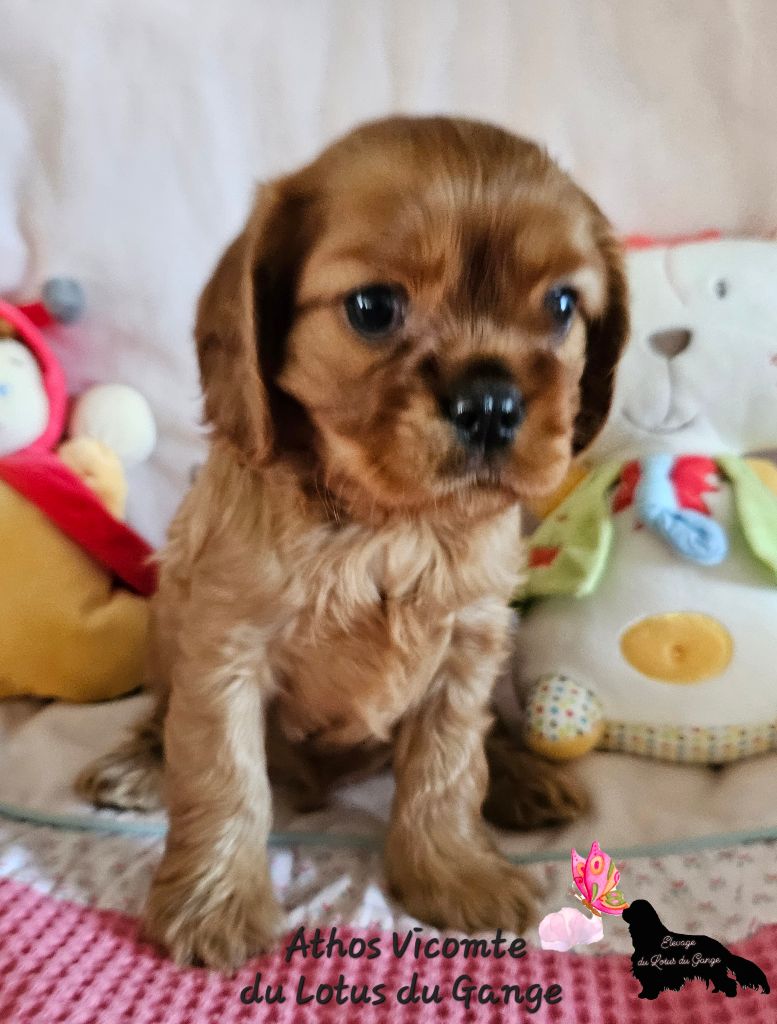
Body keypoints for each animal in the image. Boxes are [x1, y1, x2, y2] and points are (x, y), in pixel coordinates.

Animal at [77, 115, 629, 970]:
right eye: (372, 307)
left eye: (563, 304)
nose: (491, 402)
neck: (390, 524)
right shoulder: (225, 648)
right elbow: (223, 775)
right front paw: (213, 903)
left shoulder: (468, 646)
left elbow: (447, 767)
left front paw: (453, 871)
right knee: (165, 715)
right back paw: (139, 764)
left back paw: (521, 775)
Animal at [622, 899, 770, 999]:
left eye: (632, 909)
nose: (623, 911)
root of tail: (721, 948)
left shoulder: (650, 970)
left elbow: (651, 984)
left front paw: (648, 996)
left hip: (714, 970)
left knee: (729, 982)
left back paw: (730, 994)